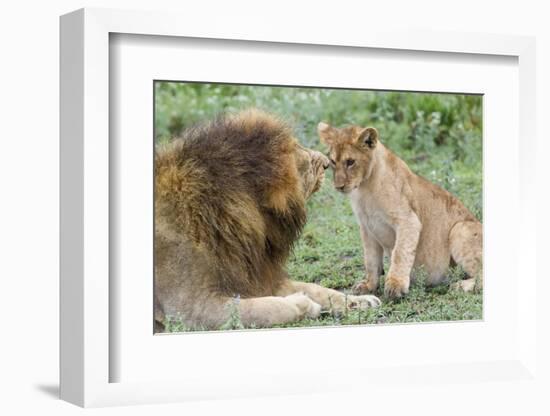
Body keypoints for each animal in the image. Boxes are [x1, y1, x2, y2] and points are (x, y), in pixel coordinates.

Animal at [153, 110, 382, 332]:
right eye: (297, 150)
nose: (327, 164)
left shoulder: (257, 277)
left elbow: (316, 288)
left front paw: (359, 300)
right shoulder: (190, 308)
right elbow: (264, 308)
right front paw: (304, 304)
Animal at [320, 120, 484, 300]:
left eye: (350, 162)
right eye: (333, 161)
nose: (339, 186)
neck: (364, 189)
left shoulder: (408, 220)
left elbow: (400, 253)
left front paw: (395, 287)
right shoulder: (366, 227)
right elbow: (370, 259)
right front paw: (369, 286)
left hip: (459, 228)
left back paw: (459, 286)